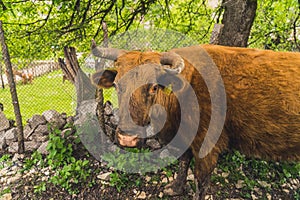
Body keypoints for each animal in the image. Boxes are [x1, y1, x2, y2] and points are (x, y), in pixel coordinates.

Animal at [91, 41, 300, 198]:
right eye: (117, 85)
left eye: (154, 87)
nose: (127, 138)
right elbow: (184, 162)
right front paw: (175, 189)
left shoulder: (206, 146)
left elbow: (201, 181)